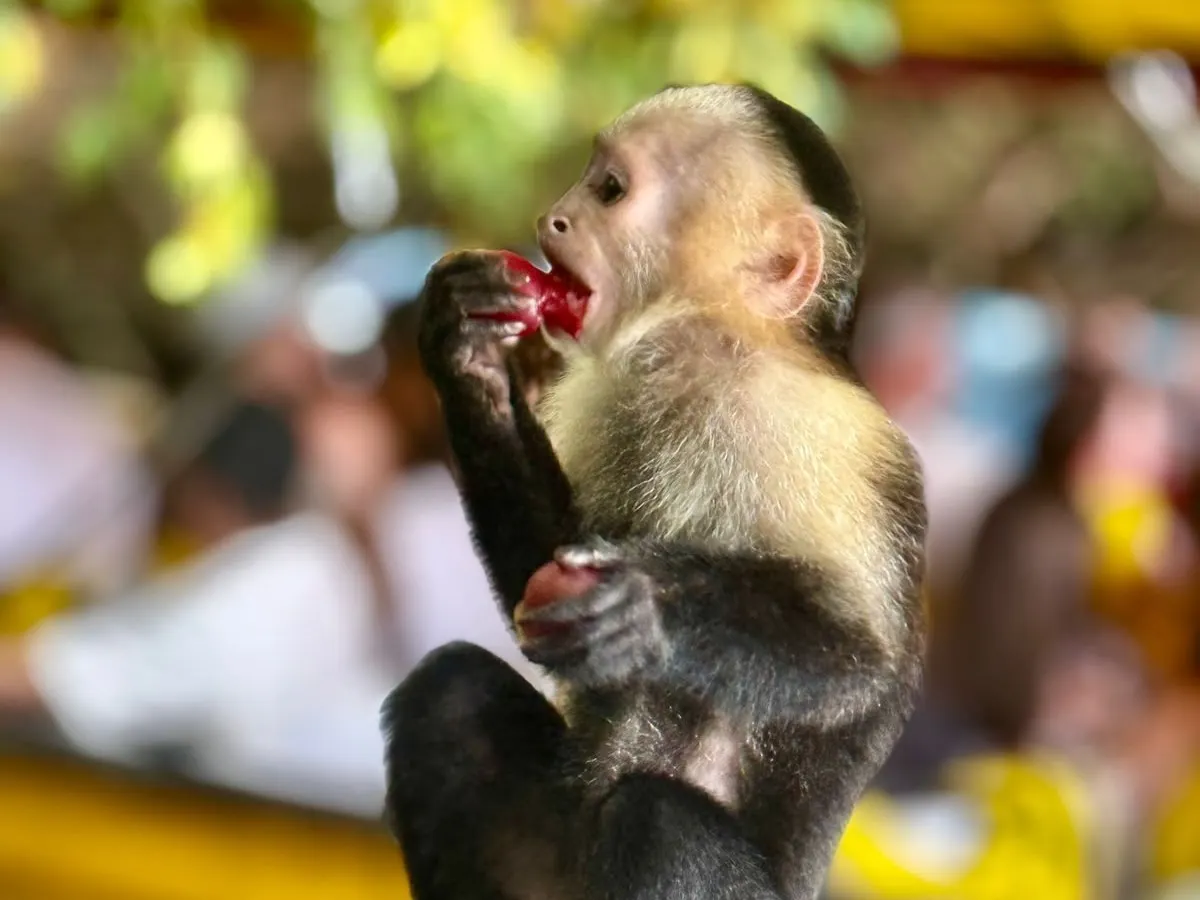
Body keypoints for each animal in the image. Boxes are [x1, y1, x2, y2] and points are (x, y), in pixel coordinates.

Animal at [381, 83, 927, 900]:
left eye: (610, 190)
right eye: (585, 179)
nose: (552, 217)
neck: (703, 354)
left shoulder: (810, 430)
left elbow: (861, 660)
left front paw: (642, 610)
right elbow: (545, 564)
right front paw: (466, 353)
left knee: (658, 821)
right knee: (450, 697)